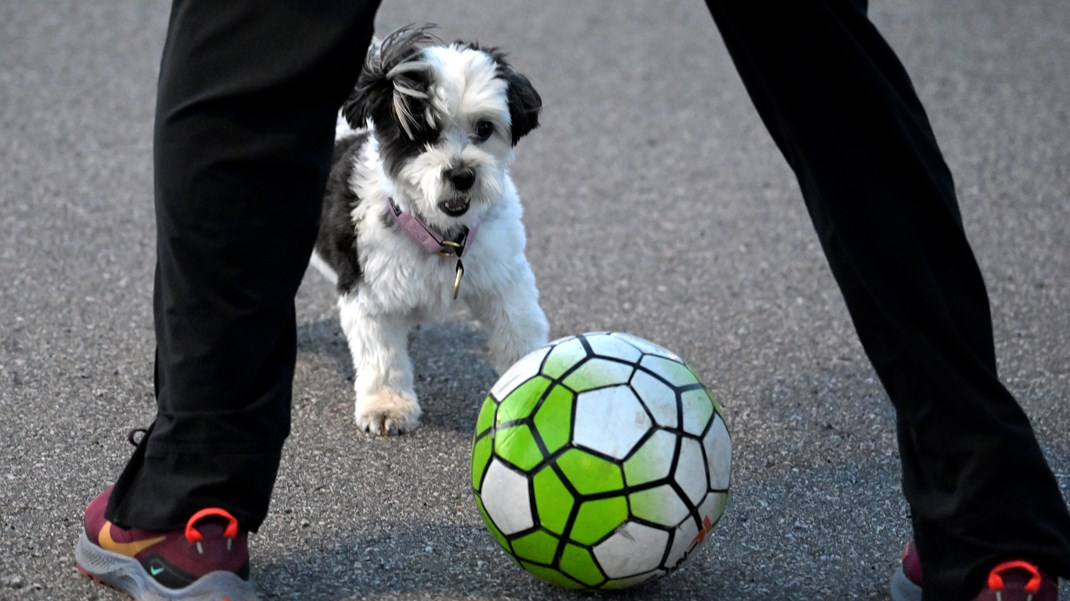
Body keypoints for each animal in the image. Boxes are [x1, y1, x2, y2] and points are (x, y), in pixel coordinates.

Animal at [308, 24, 543, 434]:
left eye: (484, 128)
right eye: (421, 131)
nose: (461, 174)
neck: (443, 235)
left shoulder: (504, 277)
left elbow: (519, 332)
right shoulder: (367, 292)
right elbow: (382, 357)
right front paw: (387, 406)